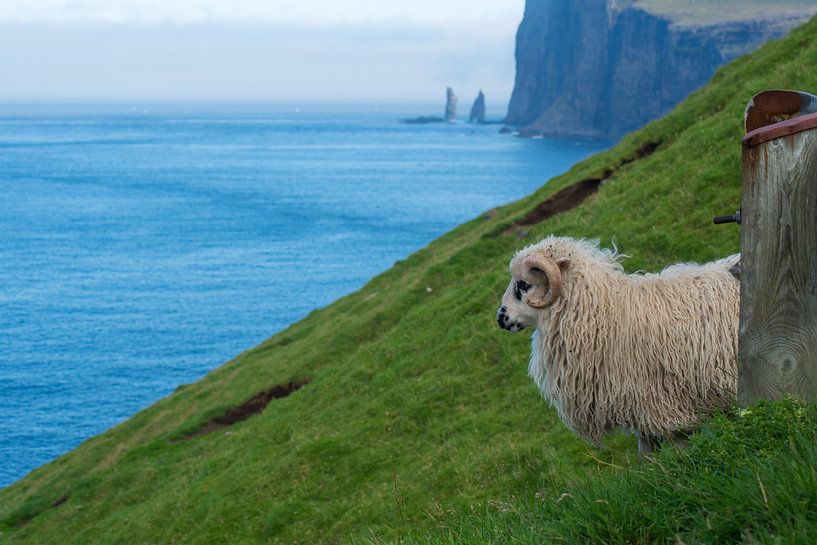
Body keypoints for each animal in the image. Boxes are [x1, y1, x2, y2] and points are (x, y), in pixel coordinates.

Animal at [495, 236, 740, 455]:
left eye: (523, 285)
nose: (500, 317)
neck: (603, 313)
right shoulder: (639, 410)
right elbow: (647, 456)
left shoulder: (667, 408)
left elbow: (681, 453)